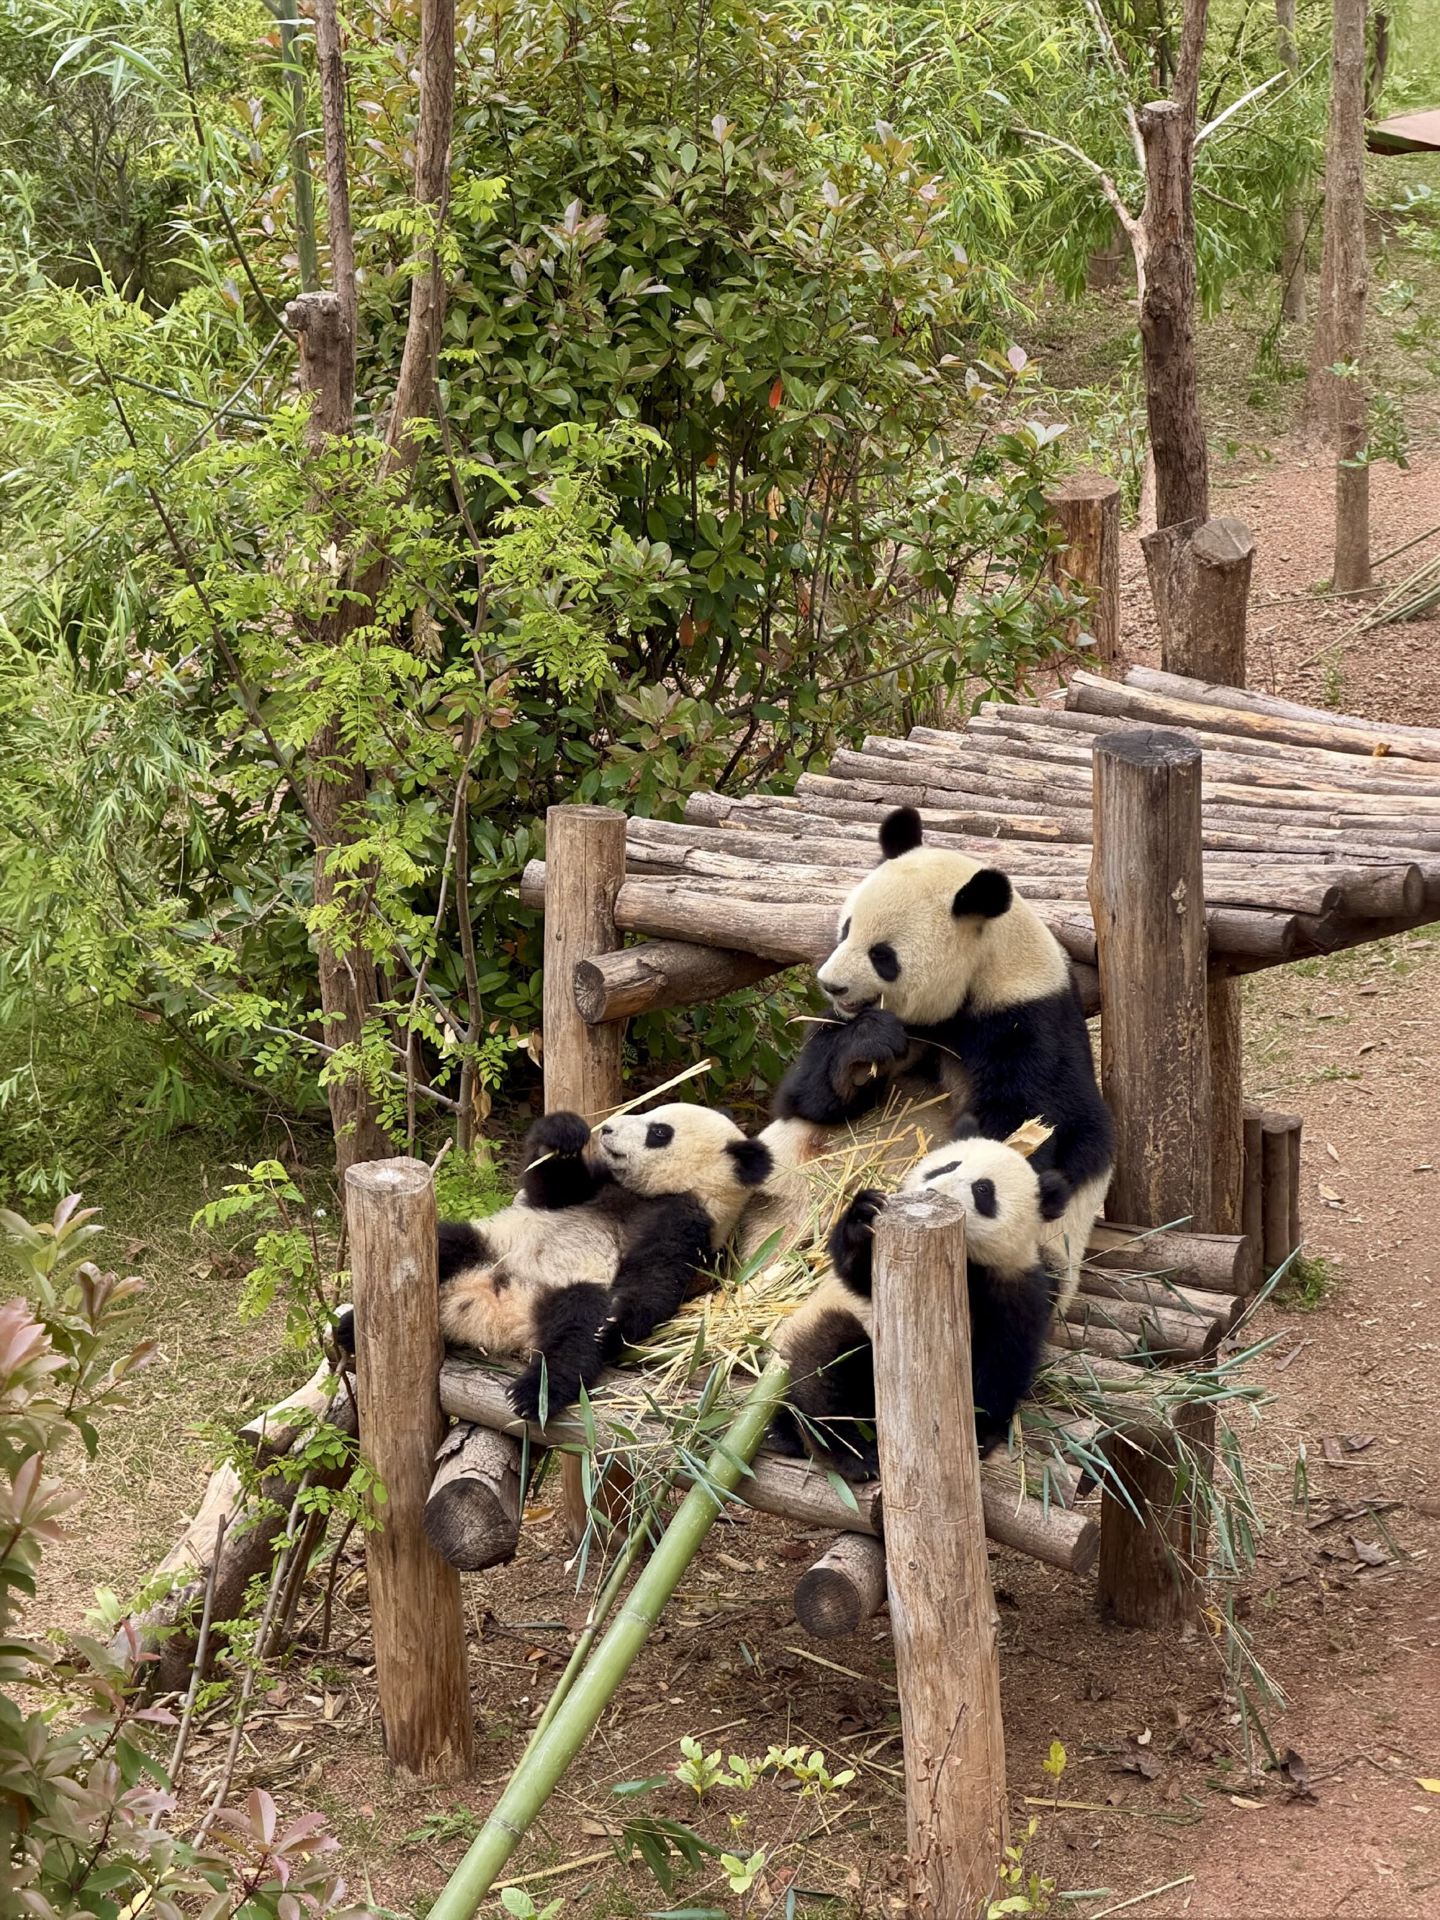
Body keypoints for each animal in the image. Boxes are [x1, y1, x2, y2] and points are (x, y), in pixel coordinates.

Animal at [343, 1104, 772, 1423]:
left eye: (659, 1132)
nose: (607, 1130)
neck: (647, 1195)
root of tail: (488, 1310)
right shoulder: (594, 1187)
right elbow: (550, 1188)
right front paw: (565, 1134)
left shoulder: (690, 1222)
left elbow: (656, 1277)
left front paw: (618, 1316)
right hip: (490, 1244)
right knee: (447, 1244)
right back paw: (349, 1329)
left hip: (566, 1289)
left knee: (577, 1331)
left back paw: (534, 1395)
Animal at [769, 1124, 1071, 1478]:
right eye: (946, 1166)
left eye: (983, 1189)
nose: (933, 1190)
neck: (966, 1260)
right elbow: (857, 1275)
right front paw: (863, 1213)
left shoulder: (1013, 1288)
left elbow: (1002, 1359)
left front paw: (979, 1433)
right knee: (828, 1366)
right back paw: (851, 1452)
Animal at [772, 803, 1113, 1305]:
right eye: (846, 928)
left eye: (883, 955)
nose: (831, 984)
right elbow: (806, 1098)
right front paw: (865, 1049)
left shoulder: (1027, 1025)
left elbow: (1027, 1129)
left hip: (1050, 1248)